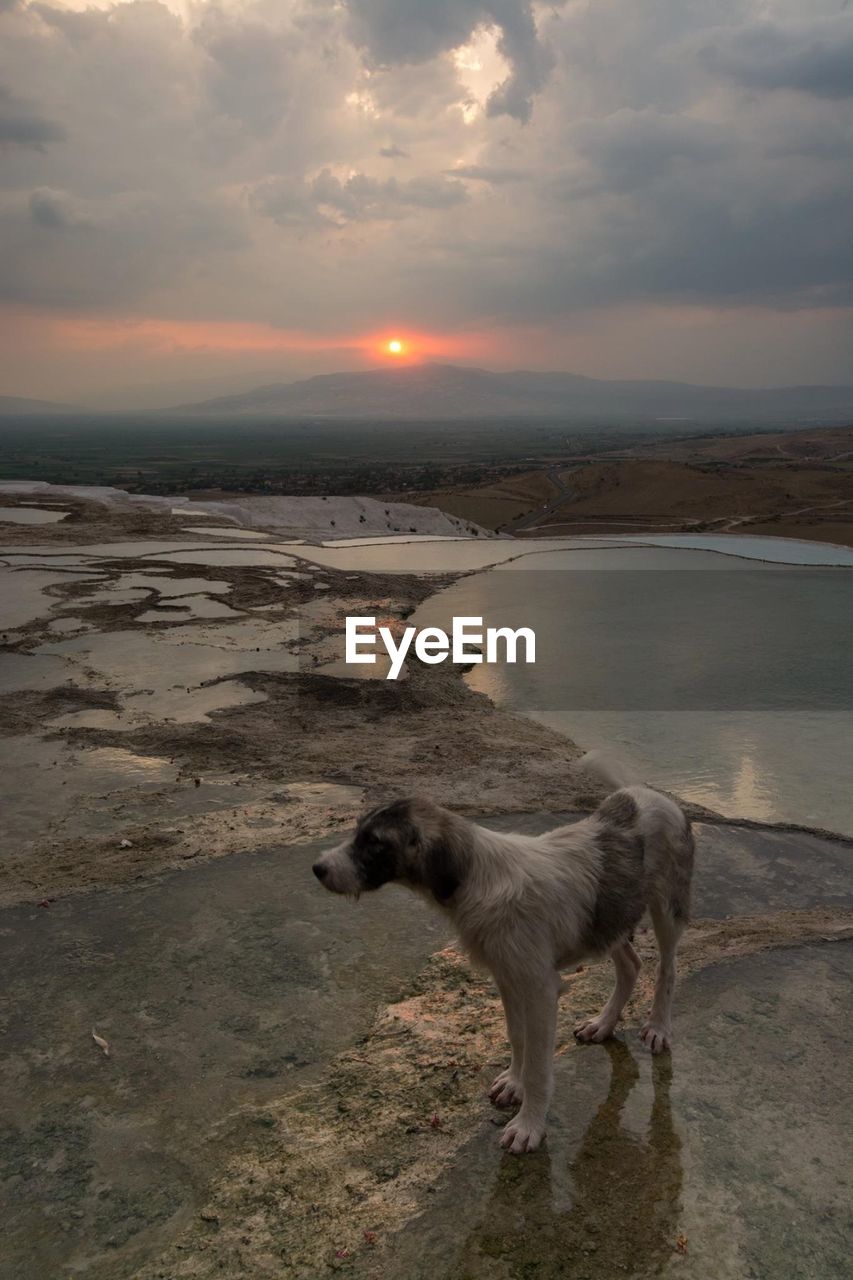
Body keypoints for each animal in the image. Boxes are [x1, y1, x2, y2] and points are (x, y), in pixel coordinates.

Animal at [312, 752, 691, 1157]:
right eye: (357, 833)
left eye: (375, 844)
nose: (317, 868)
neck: (478, 878)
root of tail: (645, 793)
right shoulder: (508, 976)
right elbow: (516, 1035)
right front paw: (514, 1082)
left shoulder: (540, 990)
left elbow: (539, 1065)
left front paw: (529, 1125)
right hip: (610, 919)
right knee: (631, 966)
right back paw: (603, 1024)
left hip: (666, 910)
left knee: (667, 969)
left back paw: (658, 1027)